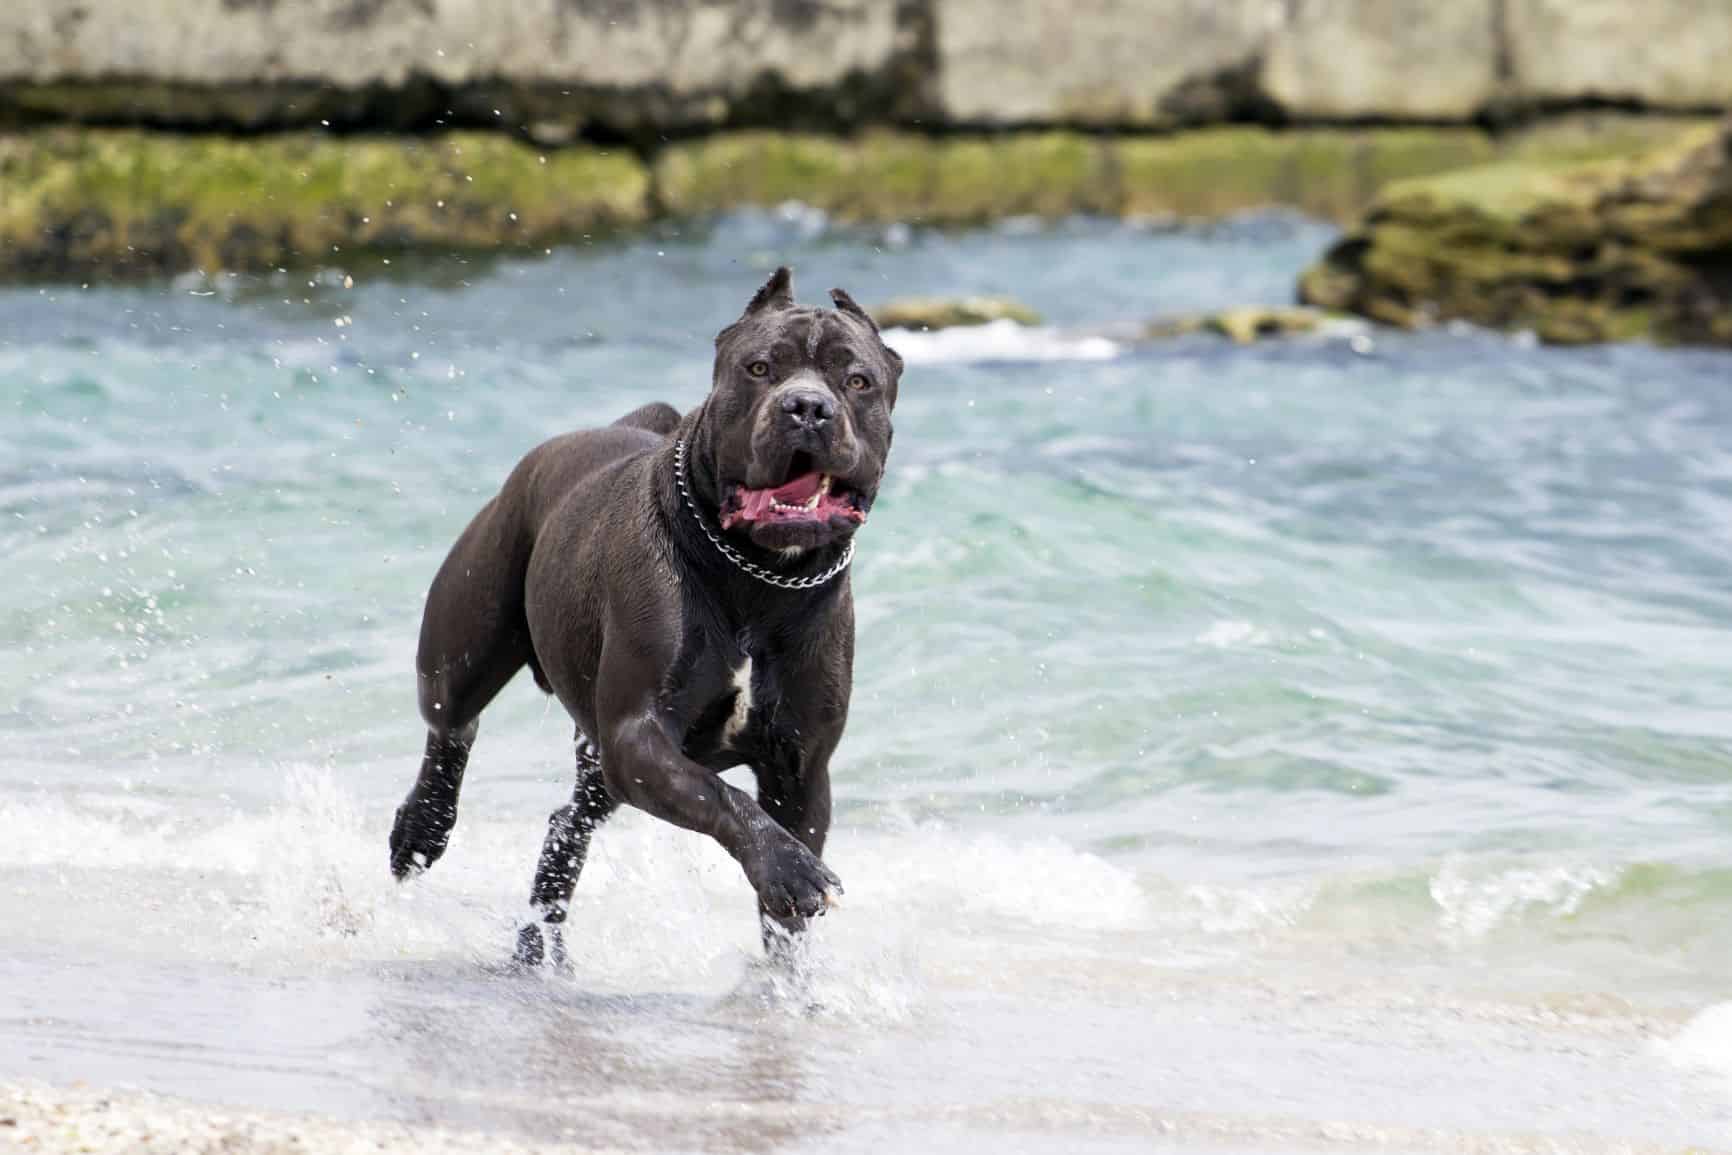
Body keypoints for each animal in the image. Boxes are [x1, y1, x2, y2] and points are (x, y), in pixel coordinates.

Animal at [391, 266, 900, 962]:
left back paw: (536, 947)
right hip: (467, 639)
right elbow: (724, 795)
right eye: (760, 368)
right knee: (452, 723)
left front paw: (786, 968)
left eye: (857, 381)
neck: (761, 575)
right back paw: (421, 829)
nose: (806, 407)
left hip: (598, 759)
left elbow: (782, 919)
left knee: (566, 824)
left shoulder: (800, 769)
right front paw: (791, 871)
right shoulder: (640, 735)